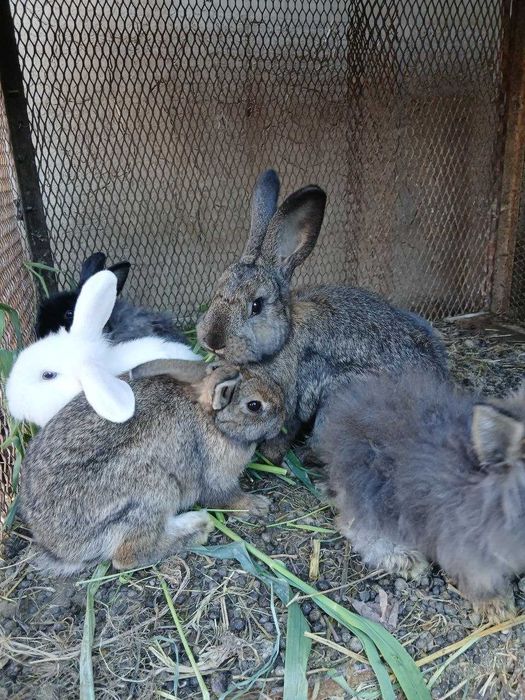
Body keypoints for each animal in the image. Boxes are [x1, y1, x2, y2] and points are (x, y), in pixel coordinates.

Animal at [19, 359, 285, 575]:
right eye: (254, 405)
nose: (282, 414)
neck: (211, 418)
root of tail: (57, 547)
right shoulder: (216, 476)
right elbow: (226, 497)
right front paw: (258, 506)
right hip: (153, 493)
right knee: (128, 556)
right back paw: (197, 528)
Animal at [196, 169, 449, 463]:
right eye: (217, 291)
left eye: (256, 305)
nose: (212, 339)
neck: (285, 337)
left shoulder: (291, 401)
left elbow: (282, 431)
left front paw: (271, 456)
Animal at [314, 370, 525, 622]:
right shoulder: (466, 547)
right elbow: (481, 580)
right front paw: (497, 606)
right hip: (375, 495)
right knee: (352, 526)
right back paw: (406, 559)